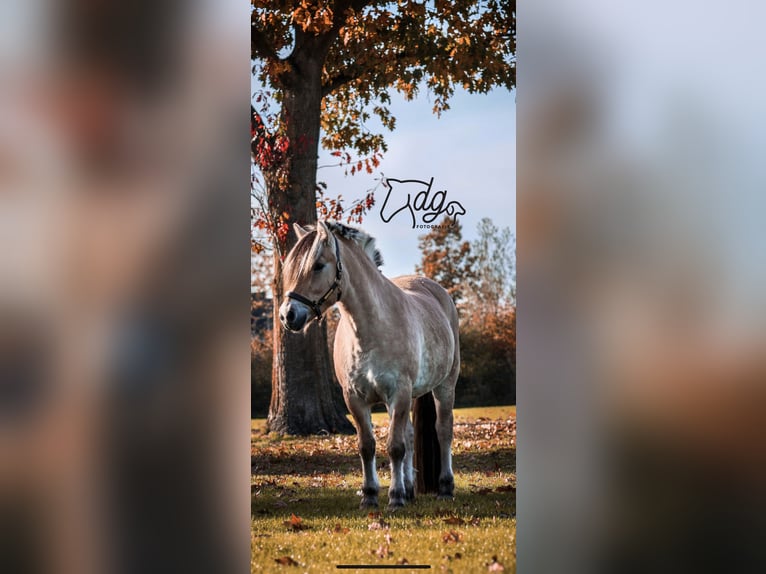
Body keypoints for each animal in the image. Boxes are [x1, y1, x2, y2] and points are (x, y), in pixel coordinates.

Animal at [282, 223, 462, 510]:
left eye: (318, 265)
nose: (288, 315)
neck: (370, 329)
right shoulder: (355, 399)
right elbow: (367, 446)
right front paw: (370, 495)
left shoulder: (398, 394)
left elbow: (395, 447)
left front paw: (395, 497)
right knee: (410, 435)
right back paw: (410, 489)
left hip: (444, 386)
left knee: (443, 430)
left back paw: (444, 487)